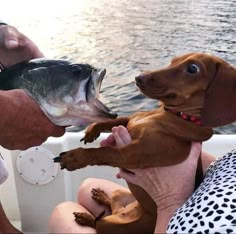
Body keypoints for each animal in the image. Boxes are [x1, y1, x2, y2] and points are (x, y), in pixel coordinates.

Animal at [54, 53, 236, 234]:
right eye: (173, 61)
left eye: (192, 68)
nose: (139, 78)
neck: (171, 115)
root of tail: (124, 211)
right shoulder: (130, 121)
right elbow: (113, 121)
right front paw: (92, 130)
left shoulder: (131, 154)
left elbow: (103, 152)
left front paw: (74, 157)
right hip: (119, 194)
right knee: (112, 204)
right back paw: (102, 197)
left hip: (110, 224)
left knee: (98, 224)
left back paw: (87, 218)